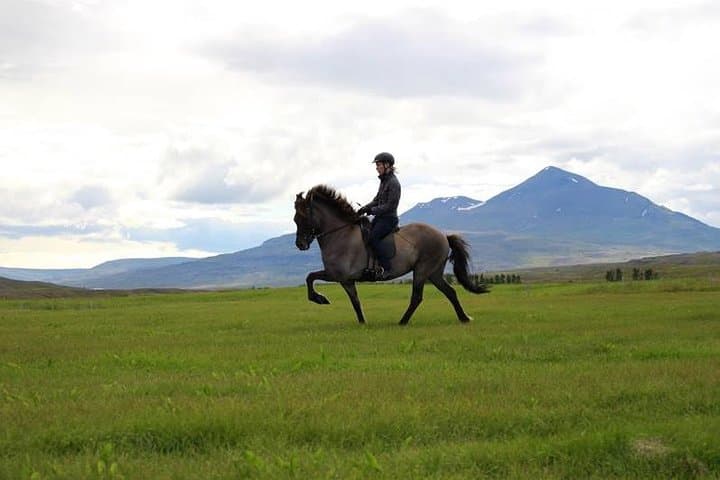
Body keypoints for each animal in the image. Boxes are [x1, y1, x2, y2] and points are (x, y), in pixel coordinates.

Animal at [293, 185, 489, 325]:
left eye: (302, 217)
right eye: (295, 219)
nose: (300, 244)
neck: (340, 234)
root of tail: (443, 235)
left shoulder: (336, 275)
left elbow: (310, 277)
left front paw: (319, 298)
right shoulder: (346, 280)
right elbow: (355, 301)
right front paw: (362, 323)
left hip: (422, 270)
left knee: (417, 297)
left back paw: (402, 322)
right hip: (433, 273)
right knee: (450, 292)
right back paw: (464, 318)